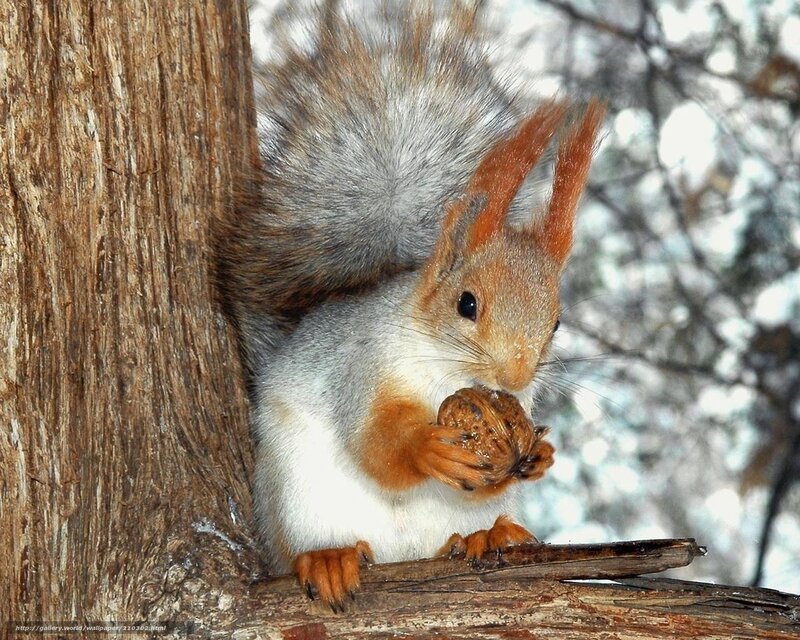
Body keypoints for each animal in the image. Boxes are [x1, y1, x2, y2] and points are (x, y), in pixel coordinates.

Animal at [215, 1, 605, 608]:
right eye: (467, 304)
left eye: (557, 322)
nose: (516, 376)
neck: (442, 367)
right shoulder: (361, 366)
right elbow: (373, 443)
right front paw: (428, 449)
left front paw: (539, 455)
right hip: (299, 496)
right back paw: (328, 558)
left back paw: (488, 535)